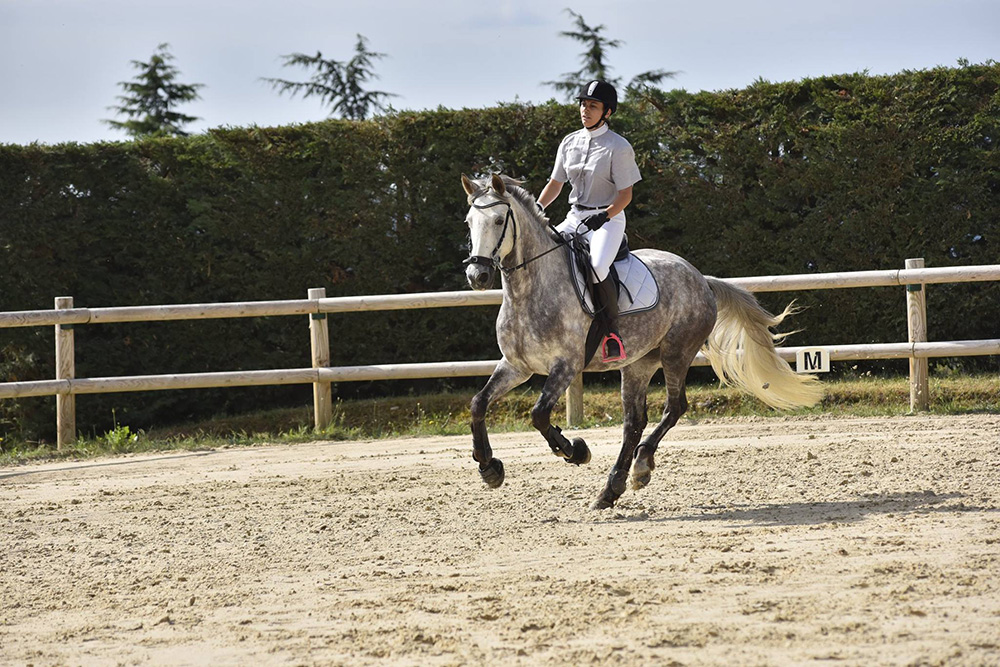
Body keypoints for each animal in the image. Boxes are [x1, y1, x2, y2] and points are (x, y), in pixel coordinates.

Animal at [462, 173, 822, 510]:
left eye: (498, 221)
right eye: (469, 222)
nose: (478, 276)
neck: (529, 290)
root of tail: (700, 278)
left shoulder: (566, 366)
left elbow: (538, 415)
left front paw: (576, 451)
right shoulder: (517, 366)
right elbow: (478, 403)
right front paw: (489, 468)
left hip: (676, 353)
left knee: (674, 408)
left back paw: (641, 466)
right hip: (638, 363)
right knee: (633, 422)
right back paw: (613, 487)